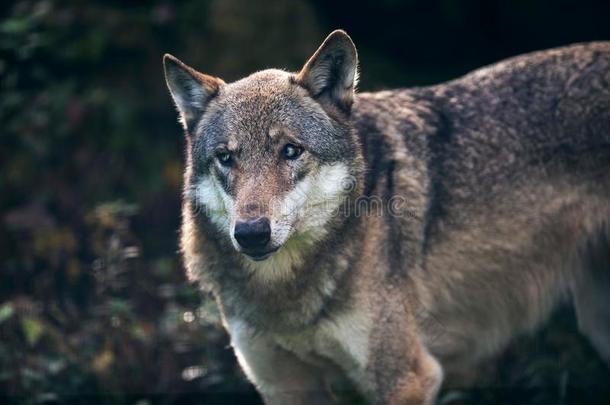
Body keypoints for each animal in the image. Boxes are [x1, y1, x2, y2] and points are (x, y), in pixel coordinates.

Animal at [163, 30, 608, 402]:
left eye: (291, 151)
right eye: (226, 158)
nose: (251, 233)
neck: (287, 296)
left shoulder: (408, 378)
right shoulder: (284, 385)